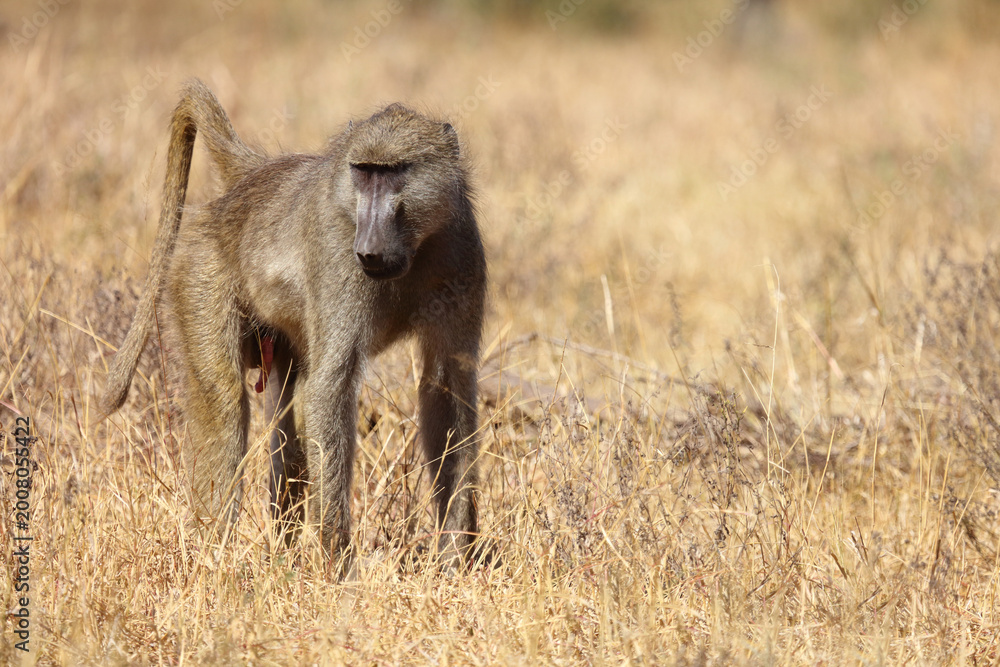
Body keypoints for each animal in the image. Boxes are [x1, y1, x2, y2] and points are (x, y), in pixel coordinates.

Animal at [102, 79, 486, 569]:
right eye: (363, 173)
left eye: (394, 171)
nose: (369, 248)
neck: (414, 249)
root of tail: (249, 182)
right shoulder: (338, 251)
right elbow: (331, 387)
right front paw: (339, 568)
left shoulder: (461, 247)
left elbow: (445, 386)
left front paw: (455, 557)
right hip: (197, 272)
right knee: (225, 403)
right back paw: (215, 558)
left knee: (291, 417)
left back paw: (280, 555)